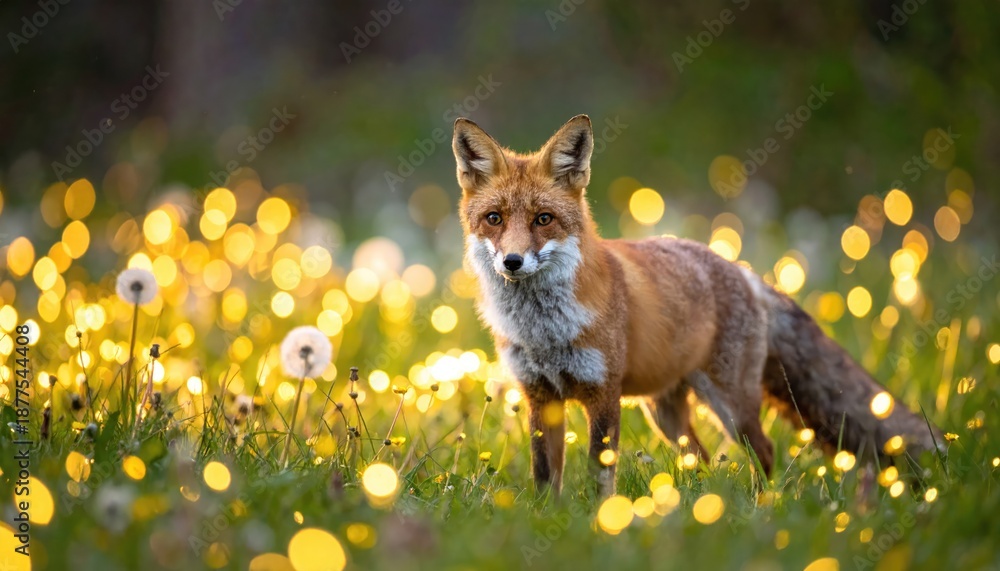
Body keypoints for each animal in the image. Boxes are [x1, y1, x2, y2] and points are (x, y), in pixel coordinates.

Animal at [452, 114, 943, 496]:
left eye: (543, 219)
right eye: (494, 219)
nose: (512, 261)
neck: (543, 332)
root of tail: (744, 271)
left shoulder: (603, 394)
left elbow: (599, 475)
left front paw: (597, 520)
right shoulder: (540, 397)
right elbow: (544, 477)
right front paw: (551, 520)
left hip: (731, 406)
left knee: (764, 451)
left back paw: (761, 508)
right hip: (666, 415)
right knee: (702, 459)